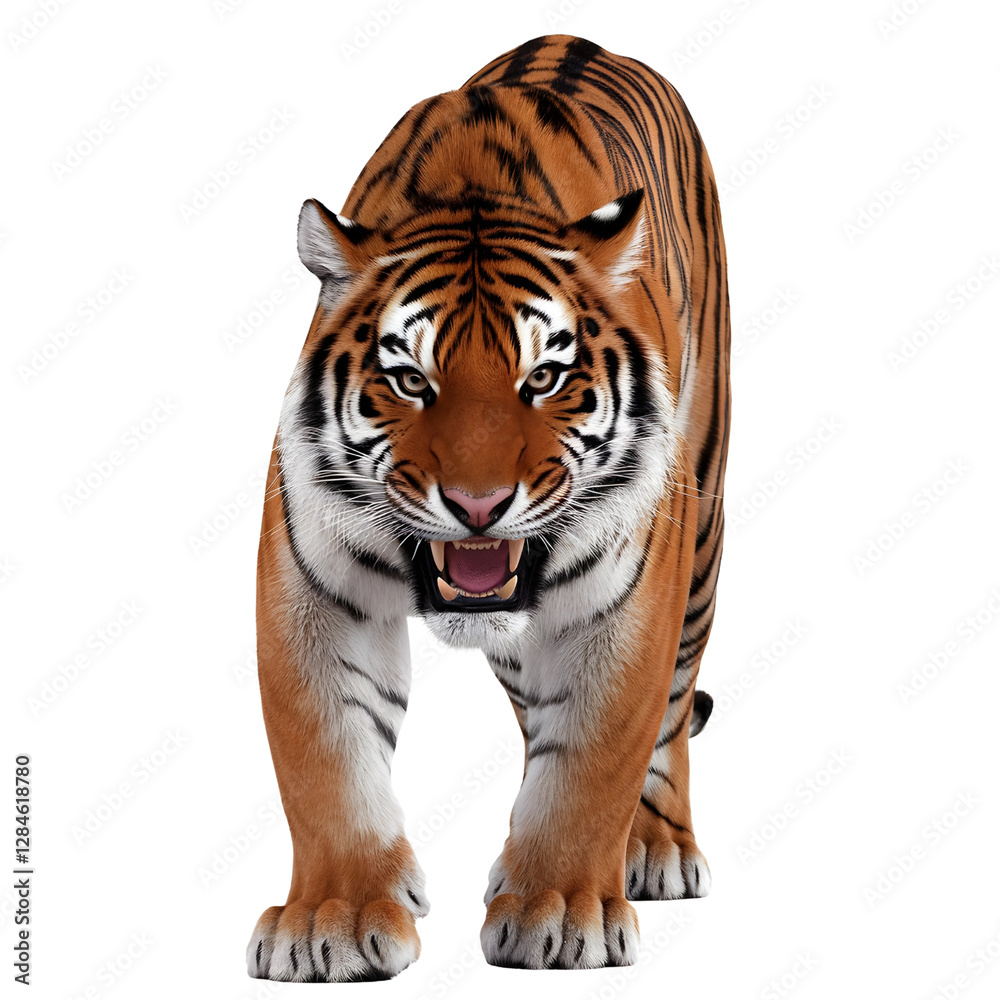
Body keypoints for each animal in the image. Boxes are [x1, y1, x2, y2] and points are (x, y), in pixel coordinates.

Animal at [247, 33, 730, 980]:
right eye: (409, 379)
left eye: (542, 377)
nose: (478, 506)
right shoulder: (313, 587)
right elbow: (325, 759)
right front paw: (333, 919)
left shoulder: (624, 601)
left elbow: (595, 757)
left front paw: (561, 912)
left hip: (700, 530)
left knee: (669, 709)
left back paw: (655, 849)